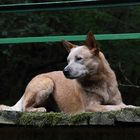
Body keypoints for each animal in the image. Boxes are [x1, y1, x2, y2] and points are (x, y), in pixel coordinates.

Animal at [0, 32, 135, 115]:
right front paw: (131, 107)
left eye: (79, 58)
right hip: (46, 82)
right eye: (68, 60)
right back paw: (40, 110)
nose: (64, 71)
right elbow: (116, 107)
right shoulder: (91, 106)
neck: (100, 82)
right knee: (25, 108)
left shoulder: (116, 100)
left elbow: (119, 104)